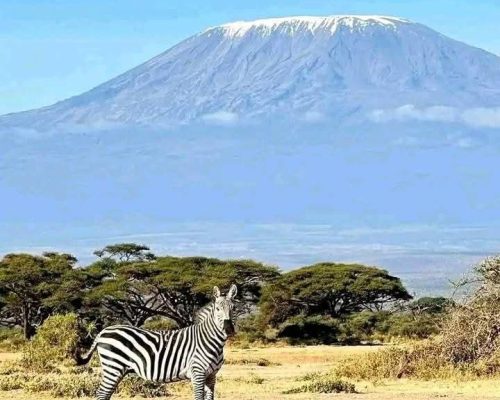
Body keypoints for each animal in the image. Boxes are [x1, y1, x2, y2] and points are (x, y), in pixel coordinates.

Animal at [75, 284, 238, 400]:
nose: (229, 329)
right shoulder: (197, 373)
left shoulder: (211, 375)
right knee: (101, 394)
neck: (212, 342)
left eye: (233, 309)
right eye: (217, 309)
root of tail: (103, 331)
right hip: (113, 367)